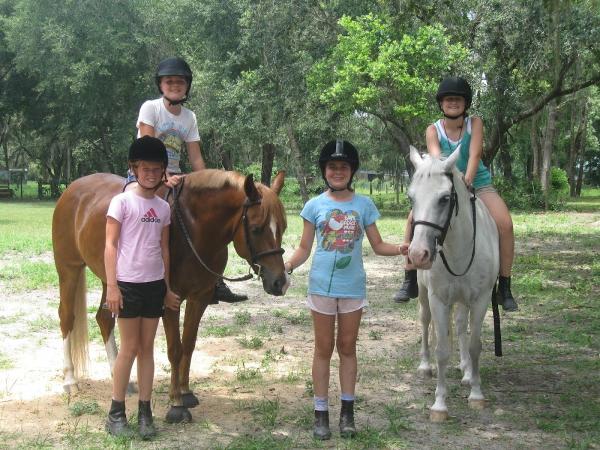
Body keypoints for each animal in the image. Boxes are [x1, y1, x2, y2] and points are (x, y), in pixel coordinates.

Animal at [52, 169, 288, 422]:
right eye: (256, 228)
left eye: (283, 227)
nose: (280, 282)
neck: (194, 230)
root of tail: (72, 189)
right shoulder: (170, 300)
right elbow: (175, 349)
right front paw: (176, 403)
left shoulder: (199, 298)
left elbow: (189, 344)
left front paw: (186, 392)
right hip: (69, 268)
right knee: (66, 317)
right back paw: (70, 380)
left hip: (111, 280)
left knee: (104, 319)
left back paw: (119, 376)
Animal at [410, 145, 500, 422]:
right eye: (411, 199)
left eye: (444, 199)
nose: (418, 254)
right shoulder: (438, 299)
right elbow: (441, 349)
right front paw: (439, 405)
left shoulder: (480, 299)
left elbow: (474, 345)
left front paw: (476, 393)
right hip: (424, 295)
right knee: (425, 321)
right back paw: (425, 366)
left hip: (463, 300)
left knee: (460, 326)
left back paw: (467, 372)